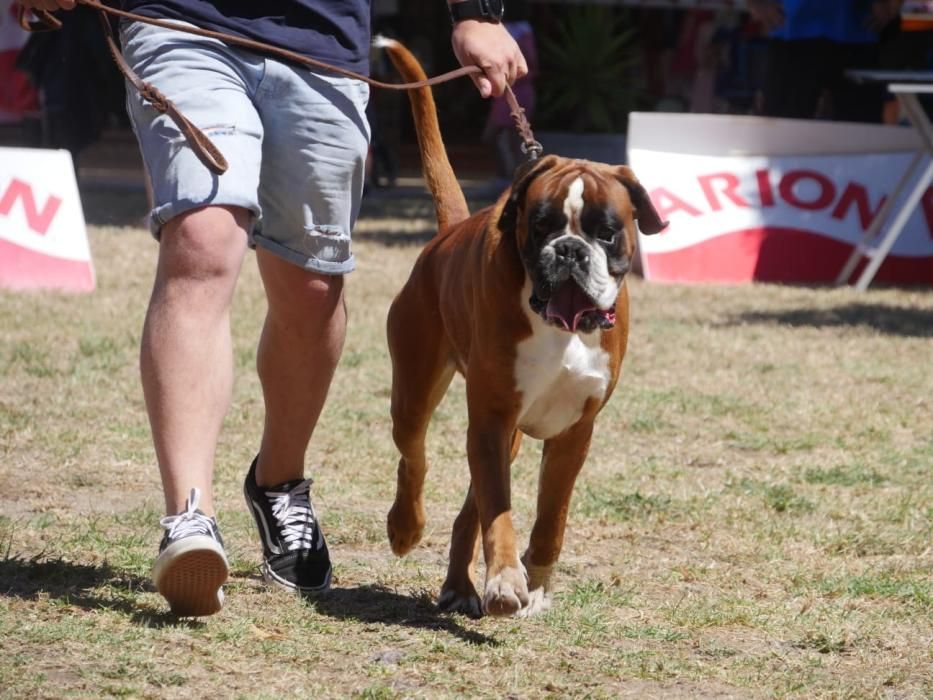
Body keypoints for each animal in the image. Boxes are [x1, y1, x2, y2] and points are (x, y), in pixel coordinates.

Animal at [380, 38, 668, 616]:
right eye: (541, 226)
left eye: (607, 232)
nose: (570, 250)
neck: (562, 328)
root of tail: (445, 235)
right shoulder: (492, 419)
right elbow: (500, 511)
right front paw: (507, 579)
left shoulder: (573, 433)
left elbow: (547, 518)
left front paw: (533, 581)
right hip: (418, 395)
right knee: (414, 457)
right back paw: (406, 527)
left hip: (505, 434)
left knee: (467, 509)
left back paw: (460, 584)